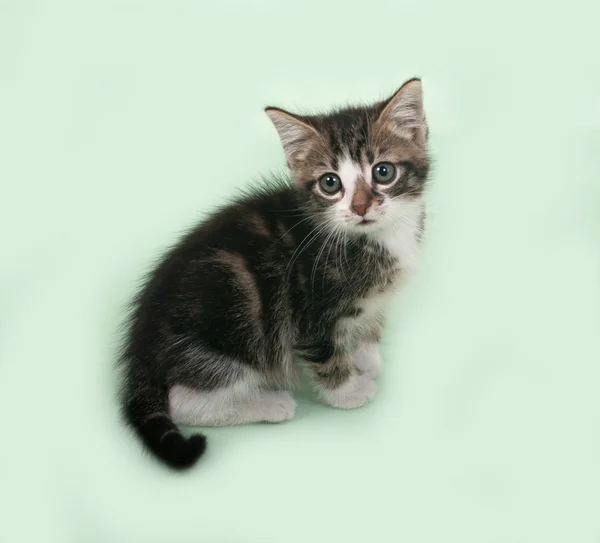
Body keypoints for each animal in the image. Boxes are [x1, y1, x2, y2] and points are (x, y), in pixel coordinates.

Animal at [118, 78, 426, 470]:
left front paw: (366, 357)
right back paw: (270, 404)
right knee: (184, 401)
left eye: (383, 172)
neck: (372, 239)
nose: (360, 207)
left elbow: (368, 324)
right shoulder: (308, 309)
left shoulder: (370, 302)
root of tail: (140, 348)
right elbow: (326, 355)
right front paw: (350, 390)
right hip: (234, 327)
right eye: (330, 183)